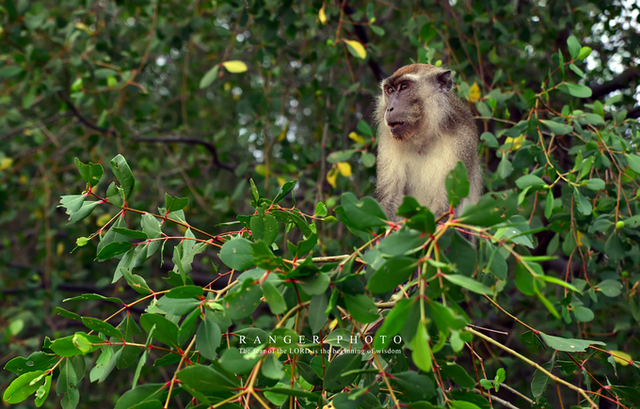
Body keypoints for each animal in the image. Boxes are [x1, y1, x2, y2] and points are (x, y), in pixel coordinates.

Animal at [372, 62, 482, 225]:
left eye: (404, 87)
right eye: (390, 90)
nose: (389, 108)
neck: (424, 136)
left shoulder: (462, 138)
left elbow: (445, 204)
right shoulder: (388, 140)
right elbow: (392, 198)